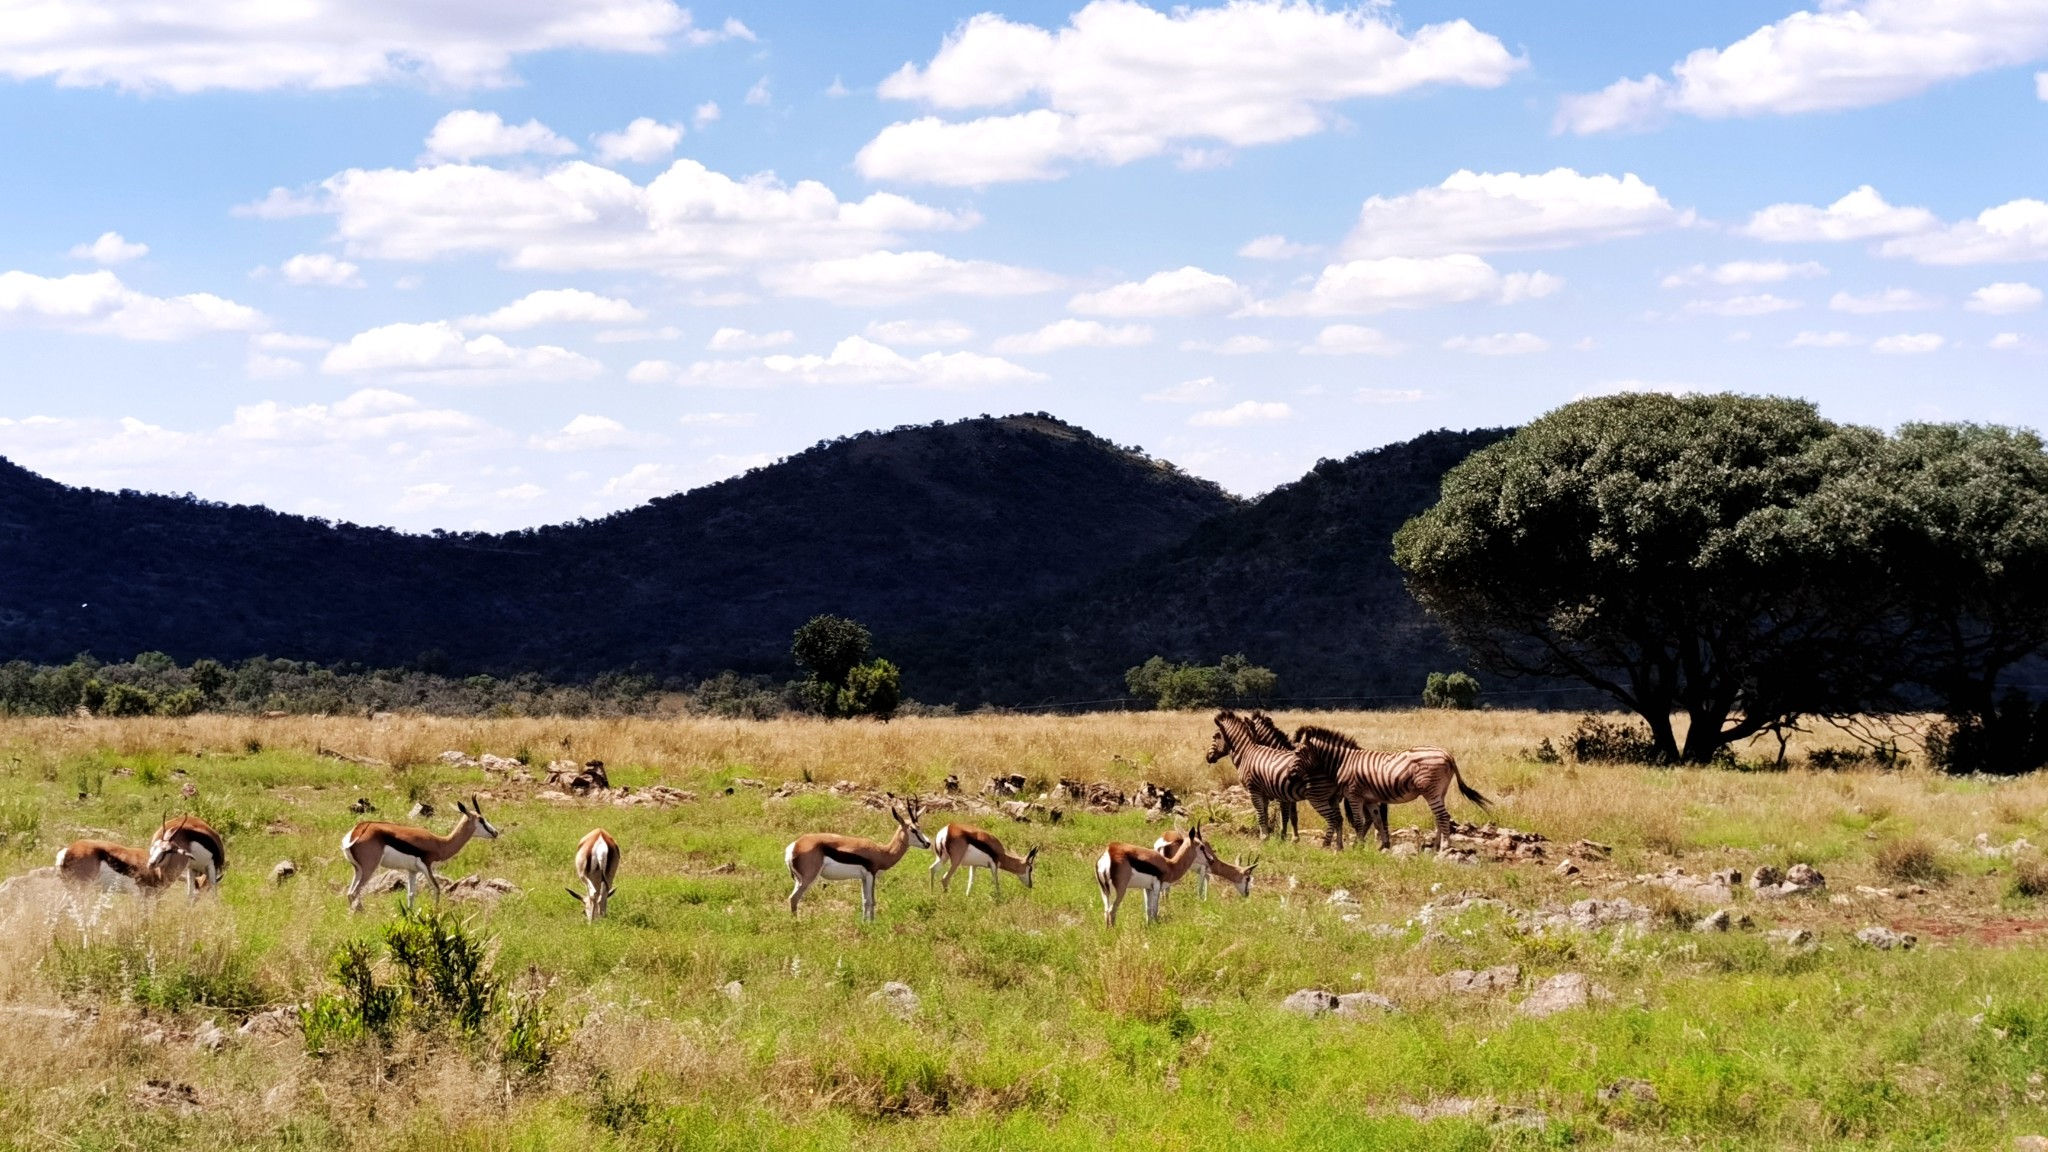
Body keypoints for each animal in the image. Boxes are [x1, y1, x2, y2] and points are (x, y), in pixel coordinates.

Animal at [342, 787, 501, 906]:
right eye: (481, 819)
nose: (495, 832)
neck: (440, 843)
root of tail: (356, 832)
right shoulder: (427, 867)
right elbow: (437, 889)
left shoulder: (412, 871)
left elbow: (411, 895)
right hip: (369, 868)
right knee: (355, 892)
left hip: (358, 869)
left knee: (350, 893)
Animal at [786, 795, 933, 918]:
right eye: (913, 829)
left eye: (920, 828)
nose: (928, 843)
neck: (883, 852)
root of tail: (794, 846)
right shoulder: (871, 875)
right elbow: (871, 901)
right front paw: (871, 925)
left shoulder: (863, 878)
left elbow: (864, 901)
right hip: (808, 879)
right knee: (793, 898)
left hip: (799, 880)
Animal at [1204, 709, 1351, 844]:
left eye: (1215, 736)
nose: (1207, 757)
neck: (1247, 753)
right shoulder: (1267, 793)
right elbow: (1267, 814)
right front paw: (1271, 836)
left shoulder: (1258, 791)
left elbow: (1269, 815)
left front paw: (1273, 838)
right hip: (1332, 797)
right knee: (1339, 819)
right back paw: (1339, 847)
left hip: (1318, 796)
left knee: (1334, 819)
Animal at [1294, 725, 1490, 852]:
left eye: (1296, 753)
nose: (1293, 775)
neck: (1343, 761)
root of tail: (1447, 754)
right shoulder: (1371, 799)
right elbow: (1378, 821)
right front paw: (1383, 846)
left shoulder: (1354, 795)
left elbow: (1358, 822)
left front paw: (1359, 846)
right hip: (1440, 791)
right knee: (1438, 817)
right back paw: (1435, 847)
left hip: (1430, 791)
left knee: (1443, 816)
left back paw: (1444, 847)